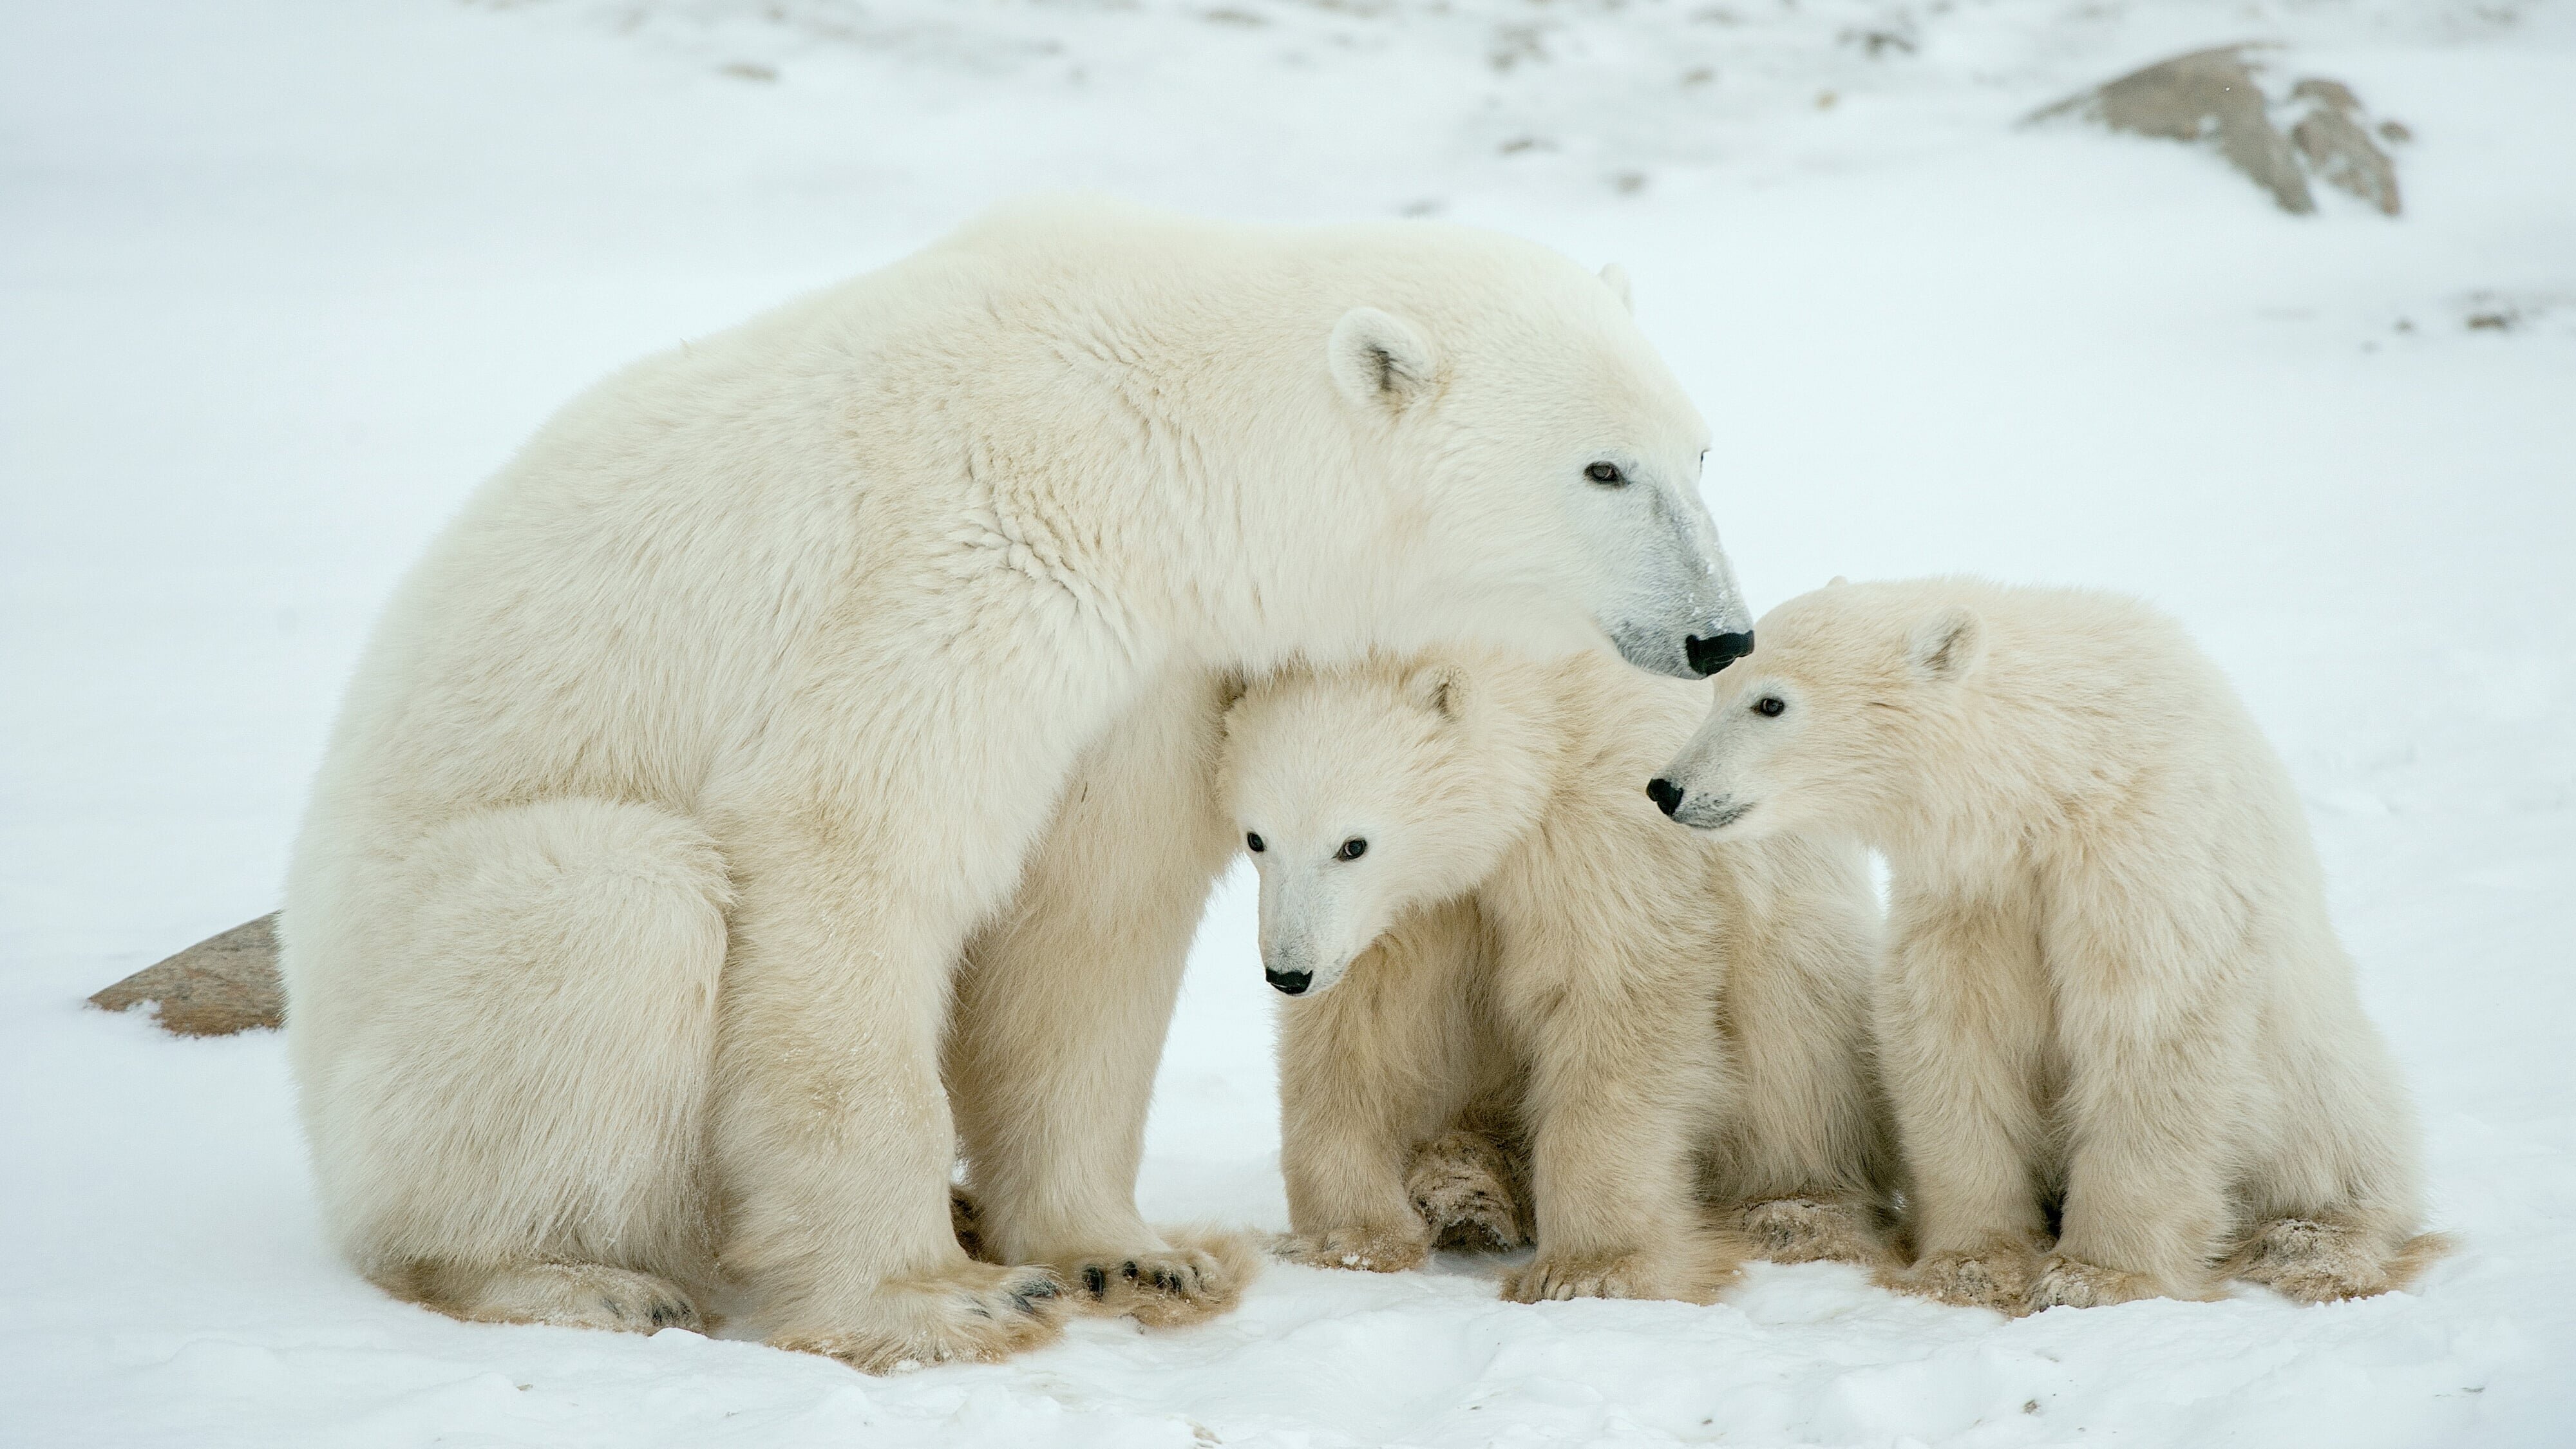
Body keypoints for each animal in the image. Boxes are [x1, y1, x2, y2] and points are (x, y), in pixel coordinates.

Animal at [292, 200, 1762, 1361]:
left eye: (1700, 451)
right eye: (1601, 466)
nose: (1719, 635)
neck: (1150, 434)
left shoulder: (1150, 665)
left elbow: (1091, 914)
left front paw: (1131, 1254)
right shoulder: (962, 560)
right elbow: (851, 852)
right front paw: (938, 1303)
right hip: (409, 1005)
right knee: (612, 904)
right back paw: (567, 1275)